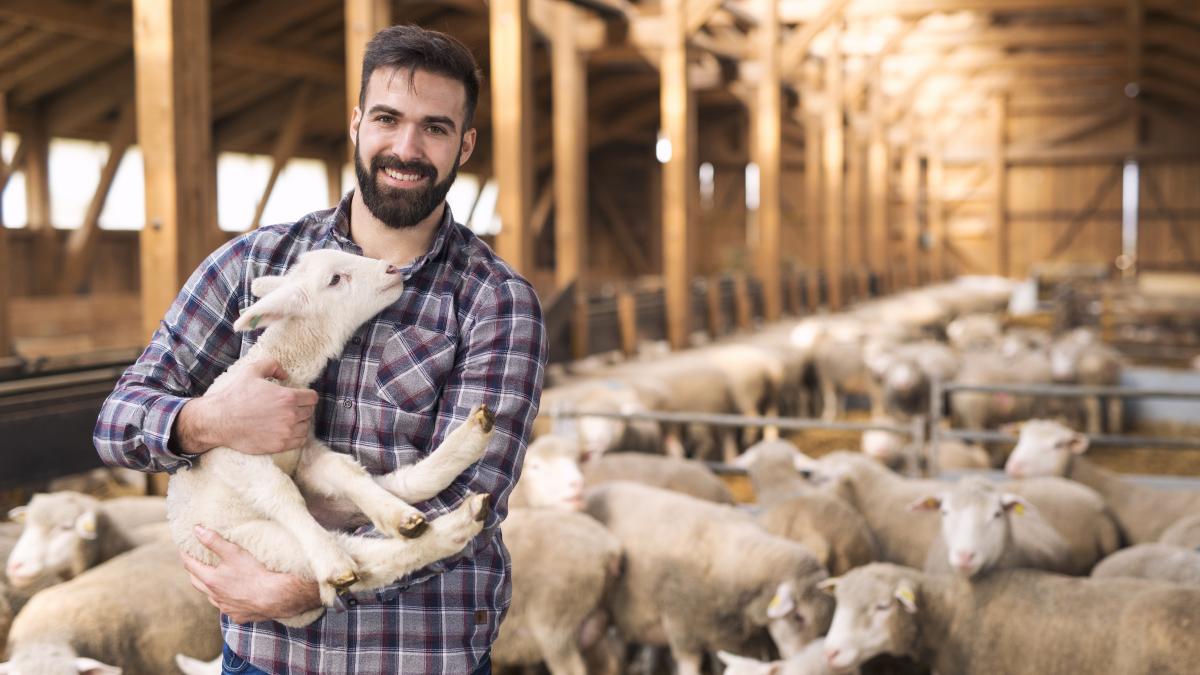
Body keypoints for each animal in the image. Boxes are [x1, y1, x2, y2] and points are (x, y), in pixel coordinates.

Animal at [165, 250, 494, 626]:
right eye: (335, 279)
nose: (392, 269)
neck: (284, 372)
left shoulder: (304, 452)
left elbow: (344, 470)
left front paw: (398, 516)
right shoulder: (235, 452)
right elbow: (282, 493)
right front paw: (331, 559)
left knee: (397, 487)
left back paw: (460, 461)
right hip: (258, 543)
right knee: (369, 560)